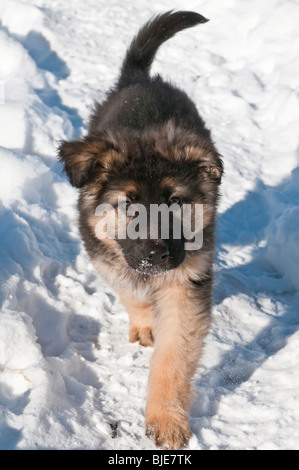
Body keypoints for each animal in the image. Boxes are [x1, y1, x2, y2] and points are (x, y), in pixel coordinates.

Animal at [58, 11, 223, 450]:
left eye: (176, 202)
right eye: (128, 204)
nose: (158, 255)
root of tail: (140, 79)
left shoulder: (186, 283)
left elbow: (172, 358)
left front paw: (166, 421)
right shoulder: (105, 253)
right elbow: (131, 291)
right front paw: (146, 321)